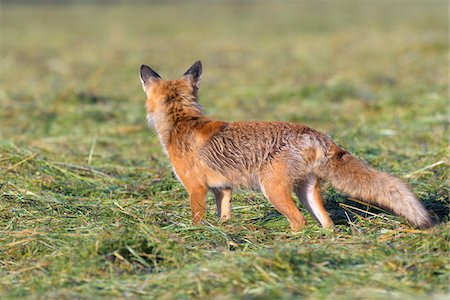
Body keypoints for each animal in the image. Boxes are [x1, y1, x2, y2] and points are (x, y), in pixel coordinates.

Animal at [138, 59, 432, 231]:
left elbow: (197, 218)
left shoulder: (196, 188)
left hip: (274, 191)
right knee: (327, 223)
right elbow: (224, 215)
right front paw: (222, 233)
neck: (181, 120)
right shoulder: (223, 188)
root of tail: (314, 133)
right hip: (306, 191)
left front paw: (196, 234)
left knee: (299, 220)